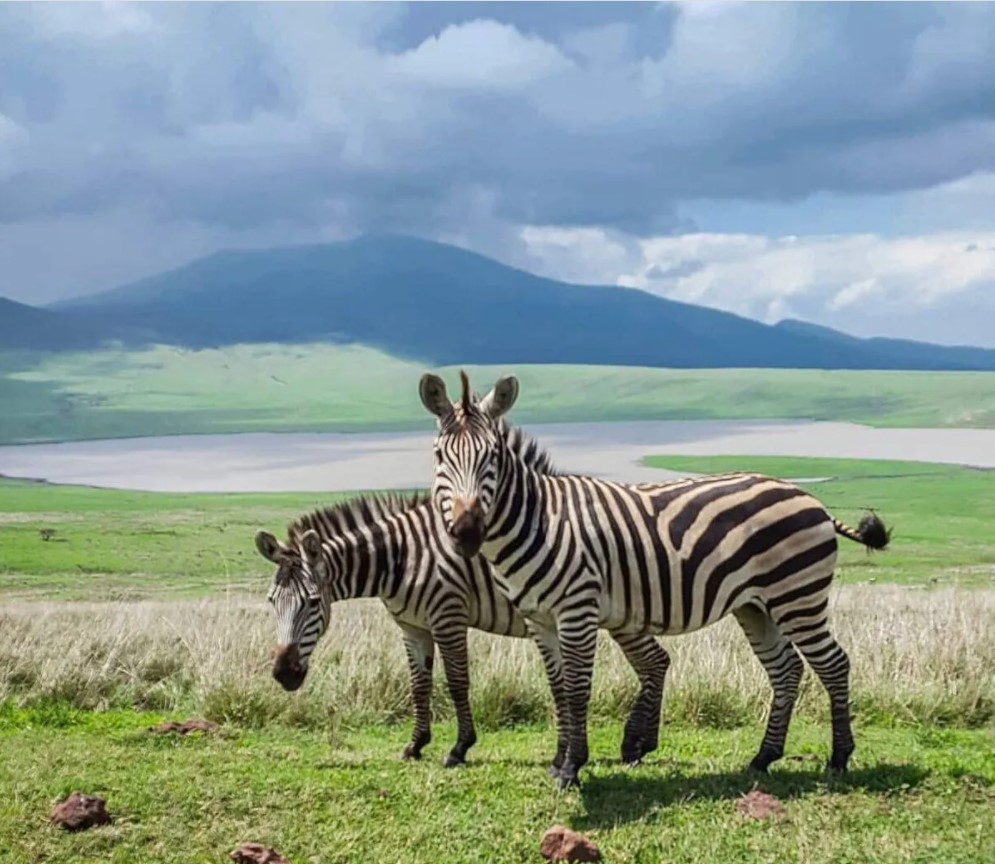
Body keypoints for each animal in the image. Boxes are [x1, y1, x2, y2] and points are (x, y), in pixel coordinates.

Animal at [253, 422, 668, 772]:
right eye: (272, 602)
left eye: (312, 603)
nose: (284, 674)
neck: (401, 557)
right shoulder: (412, 627)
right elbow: (418, 684)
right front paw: (415, 744)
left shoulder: (447, 615)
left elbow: (456, 681)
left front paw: (459, 747)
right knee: (655, 662)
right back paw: (639, 744)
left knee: (654, 662)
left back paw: (636, 744)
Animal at [420, 372, 896, 788]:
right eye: (440, 456)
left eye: (493, 457)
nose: (466, 532)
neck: (542, 521)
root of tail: (811, 499)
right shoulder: (540, 619)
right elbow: (556, 689)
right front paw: (558, 761)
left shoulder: (577, 611)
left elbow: (576, 688)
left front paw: (572, 768)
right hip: (756, 606)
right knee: (787, 670)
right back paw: (763, 758)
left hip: (798, 597)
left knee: (833, 664)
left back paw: (838, 757)